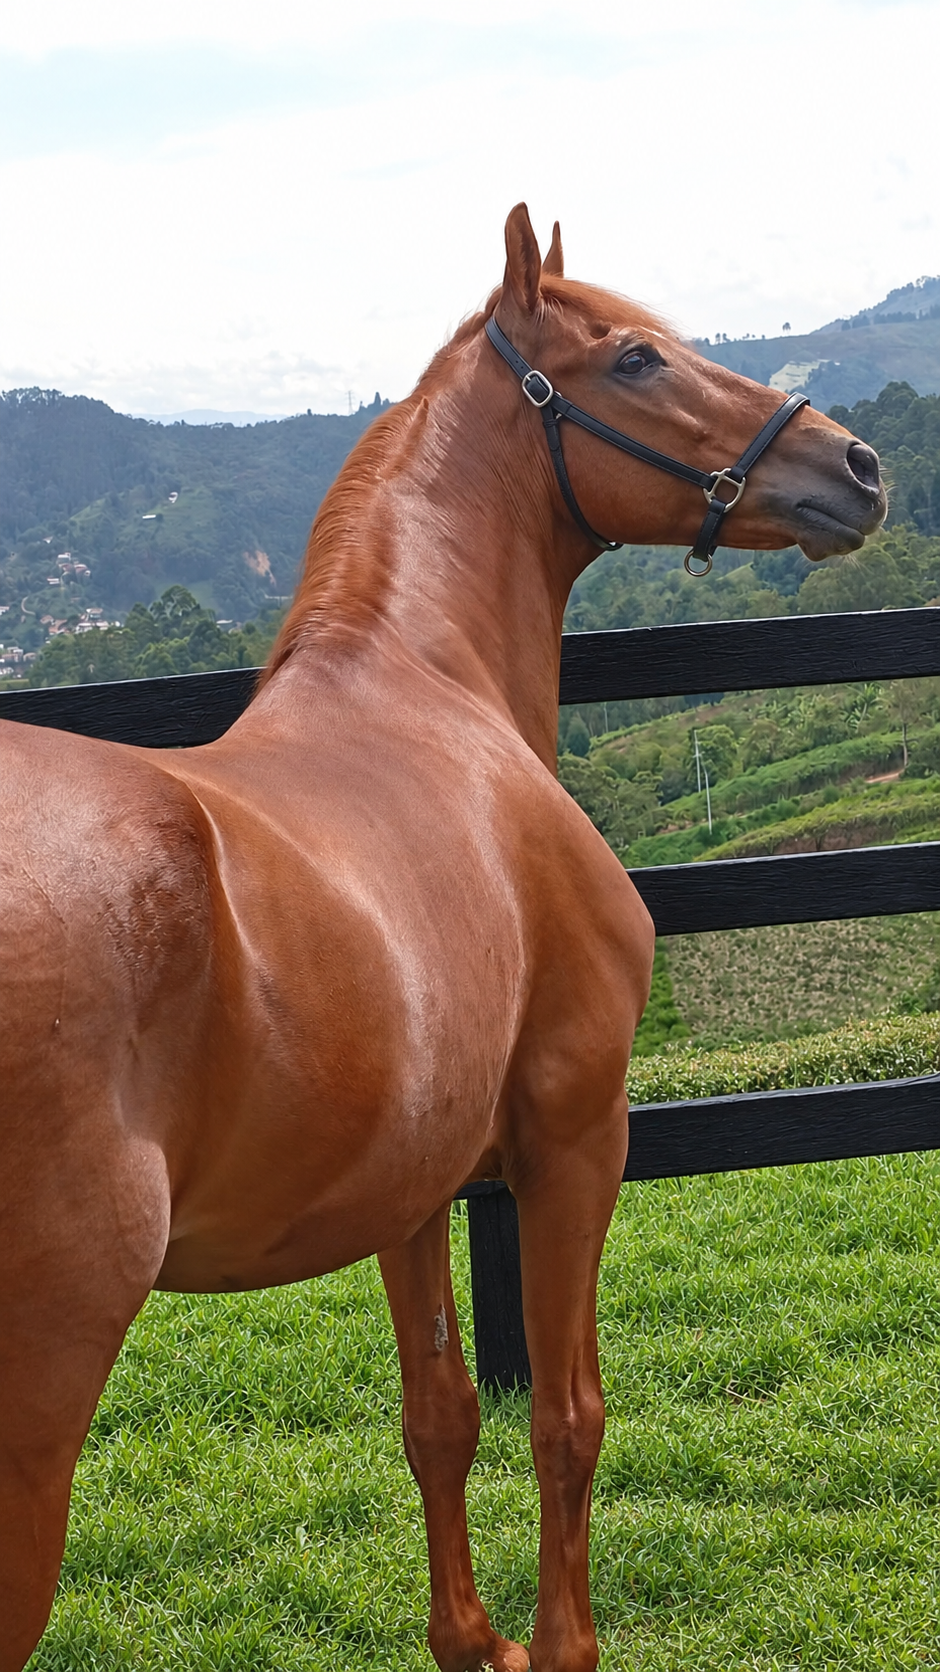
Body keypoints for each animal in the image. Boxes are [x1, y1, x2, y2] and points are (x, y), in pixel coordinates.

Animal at [0, 204, 885, 1672]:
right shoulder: (575, 1134)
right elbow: (568, 1416)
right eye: (634, 359)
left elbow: (441, 1420)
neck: (429, 683)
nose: (857, 468)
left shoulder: (412, 1183)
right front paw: (564, 1645)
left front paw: (477, 1640)